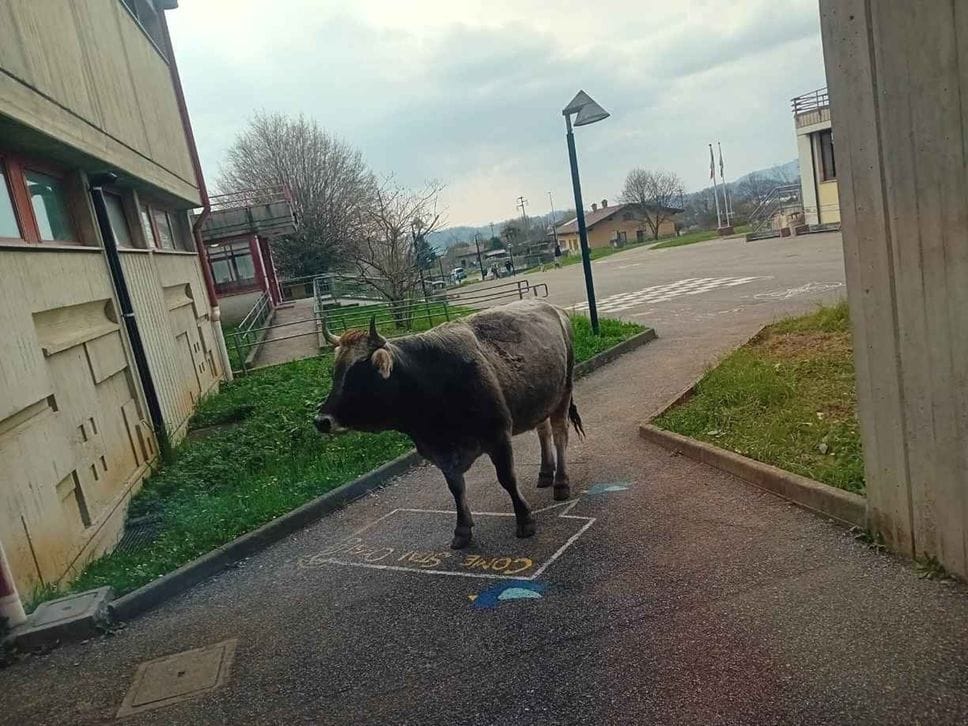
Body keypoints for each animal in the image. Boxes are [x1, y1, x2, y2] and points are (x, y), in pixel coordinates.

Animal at [314, 299, 584, 549]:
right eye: (335, 372)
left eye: (359, 375)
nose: (321, 421)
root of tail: (550, 306)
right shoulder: (438, 451)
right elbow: (455, 488)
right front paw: (462, 530)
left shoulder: (497, 435)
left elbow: (507, 478)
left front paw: (524, 519)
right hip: (540, 398)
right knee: (543, 430)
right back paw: (545, 472)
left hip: (564, 390)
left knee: (559, 434)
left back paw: (561, 482)